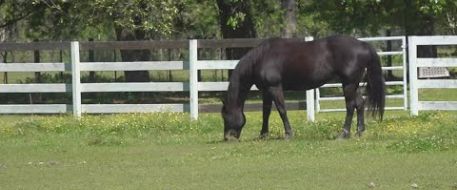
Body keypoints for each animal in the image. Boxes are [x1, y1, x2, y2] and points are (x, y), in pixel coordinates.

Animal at [221, 35, 384, 140]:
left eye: (225, 115)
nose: (227, 137)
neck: (261, 58)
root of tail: (363, 45)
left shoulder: (275, 88)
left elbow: (281, 110)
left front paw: (288, 134)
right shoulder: (266, 91)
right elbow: (266, 112)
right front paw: (263, 135)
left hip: (348, 84)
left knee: (350, 106)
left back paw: (343, 134)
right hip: (352, 84)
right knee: (360, 104)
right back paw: (359, 132)